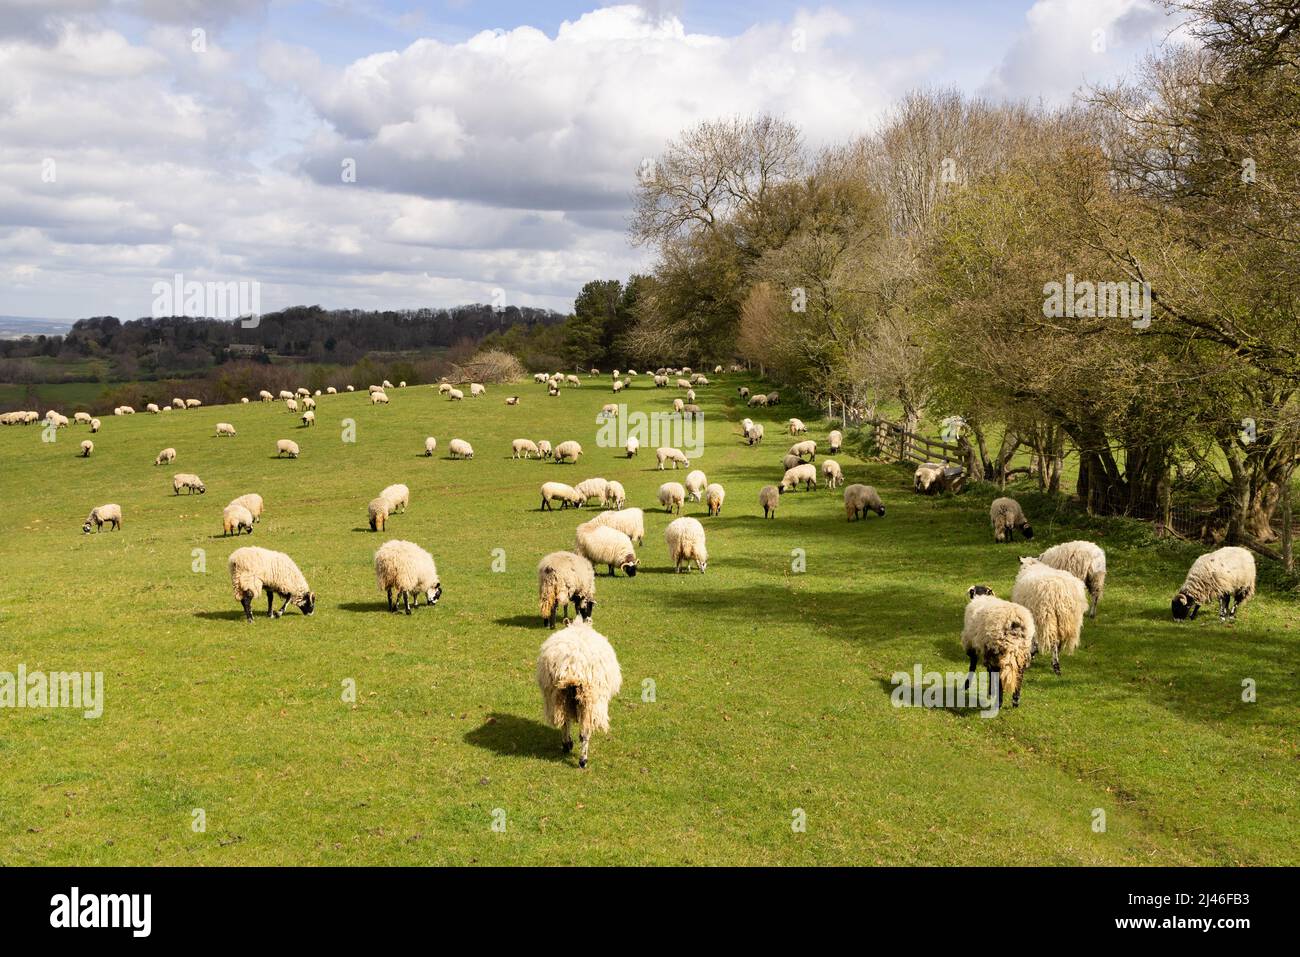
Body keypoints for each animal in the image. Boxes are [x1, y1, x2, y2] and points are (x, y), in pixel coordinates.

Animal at [535, 621, 621, 769]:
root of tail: (573, 666)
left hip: (559, 697)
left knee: (564, 721)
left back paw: (567, 746)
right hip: (590, 702)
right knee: (585, 733)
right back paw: (582, 760)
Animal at [961, 582, 1040, 712]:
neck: (982, 597)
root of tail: (1014, 620)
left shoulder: (972, 643)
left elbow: (973, 665)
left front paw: (967, 686)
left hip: (997, 649)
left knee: (999, 676)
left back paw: (999, 703)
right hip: (1021, 651)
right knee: (1019, 674)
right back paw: (1015, 700)